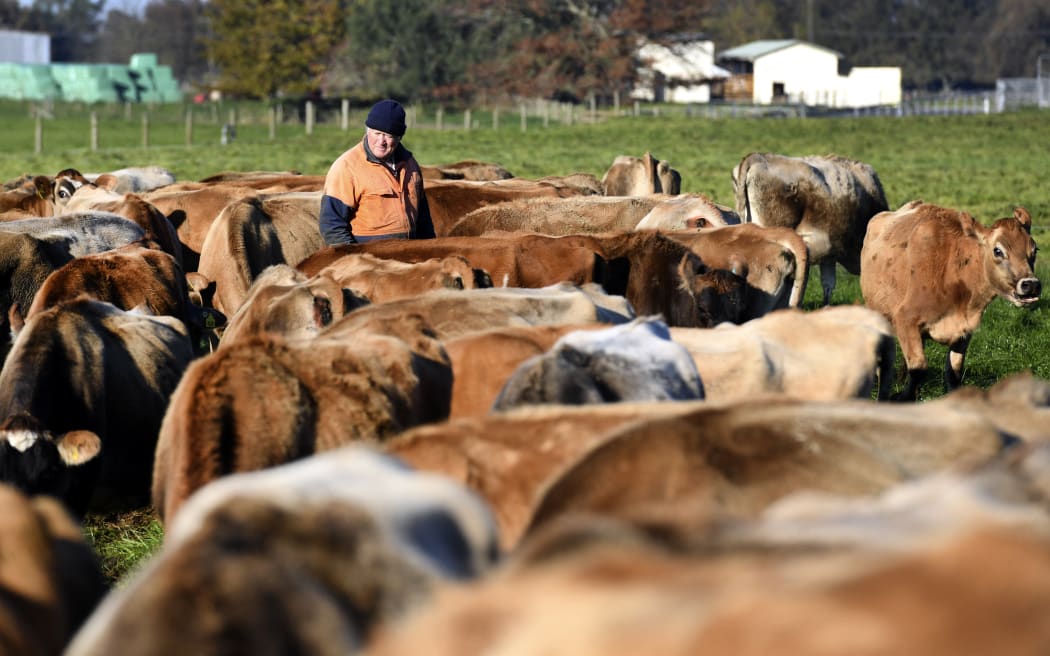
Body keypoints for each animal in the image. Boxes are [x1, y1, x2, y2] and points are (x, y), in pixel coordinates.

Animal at [860, 201, 1041, 400]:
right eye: (998, 250)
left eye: (1034, 250)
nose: (1031, 284)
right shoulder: (905, 320)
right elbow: (919, 369)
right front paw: (903, 397)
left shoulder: (964, 331)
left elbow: (954, 372)